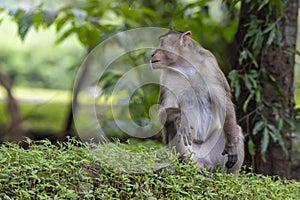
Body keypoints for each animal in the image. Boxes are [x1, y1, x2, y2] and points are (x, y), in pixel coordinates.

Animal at [150, 30, 244, 173]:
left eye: (161, 44)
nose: (152, 53)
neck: (186, 66)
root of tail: (203, 161)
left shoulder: (210, 66)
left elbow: (225, 104)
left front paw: (232, 146)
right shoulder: (166, 76)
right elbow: (162, 113)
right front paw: (182, 116)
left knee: (236, 129)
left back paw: (229, 175)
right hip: (191, 153)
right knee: (174, 124)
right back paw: (187, 165)